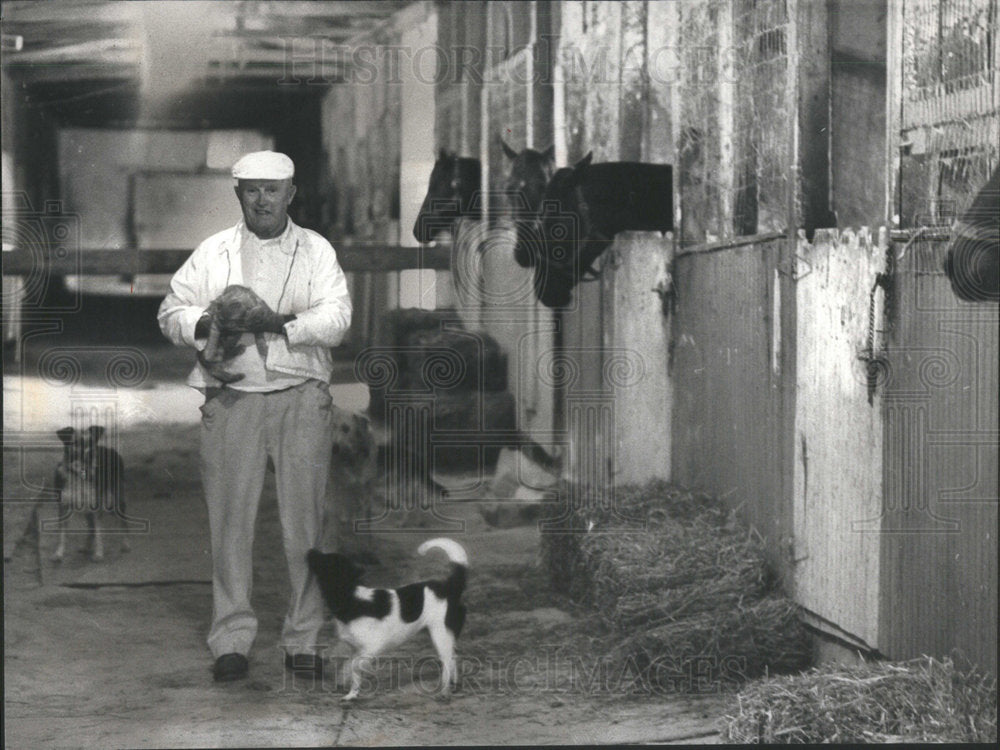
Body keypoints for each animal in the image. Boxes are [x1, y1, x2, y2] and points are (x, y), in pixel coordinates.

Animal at [51, 426, 129, 560]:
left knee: (122, 520)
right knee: (91, 527)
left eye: (92, 442)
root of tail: (112, 450)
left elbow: (98, 531)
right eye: (77, 443)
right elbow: (62, 533)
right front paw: (59, 553)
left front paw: (99, 553)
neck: (78, 474)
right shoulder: (63, 506)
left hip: (116, 499)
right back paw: (86, 547)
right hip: (87, 508)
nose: (91, 453)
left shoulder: (95, 505)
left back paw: (125, 543)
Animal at [308, 536, 468, 704]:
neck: (351, 597)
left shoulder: (373, 646)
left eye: (325, 561)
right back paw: (453, 684)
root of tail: (449, 587)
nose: (310, 550)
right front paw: (351, 693)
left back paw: (444, 691)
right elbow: (350, 666)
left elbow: (354, 665)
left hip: (440, 634)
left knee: (447, 661)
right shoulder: (356, 648)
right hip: (442, 636)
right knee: (453, 657)